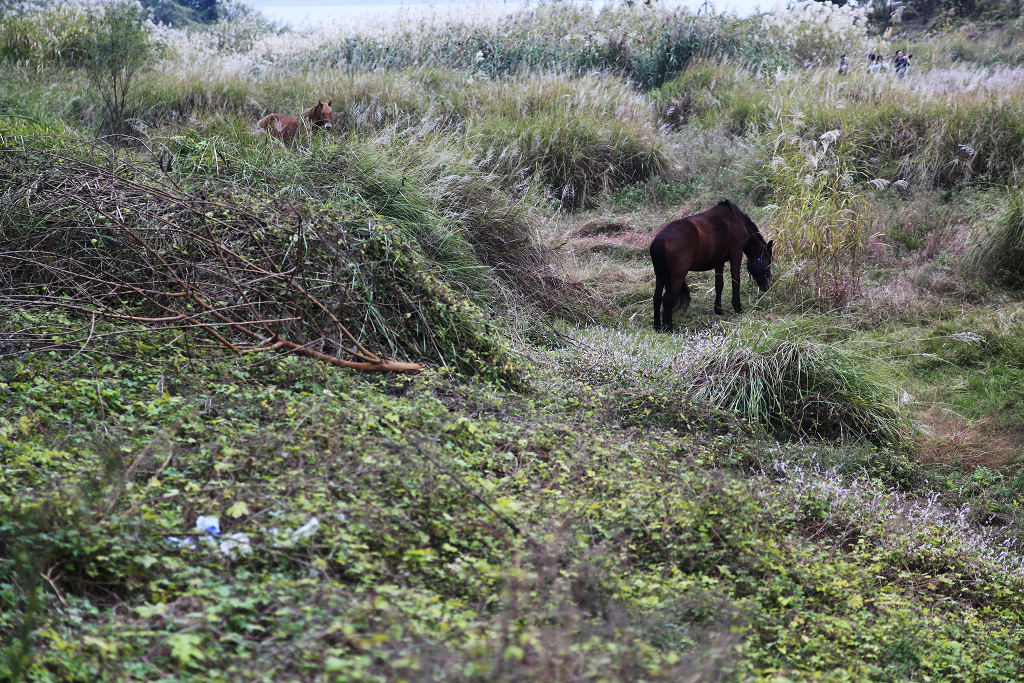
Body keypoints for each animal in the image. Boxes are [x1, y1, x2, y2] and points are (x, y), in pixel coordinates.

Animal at [651, 198, 770, 331]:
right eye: (768, 262)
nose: (767, 287)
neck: (737, 221)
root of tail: (660, 240)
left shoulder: (719, 262)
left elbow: (719, 285)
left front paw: (718, 310)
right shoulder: (736, 255)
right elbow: (736, 282)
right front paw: (738, 308)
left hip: (660, 275)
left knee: (657, 298)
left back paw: (657, 326)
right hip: (676, 277)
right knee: (668, 299)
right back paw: (669, 328)